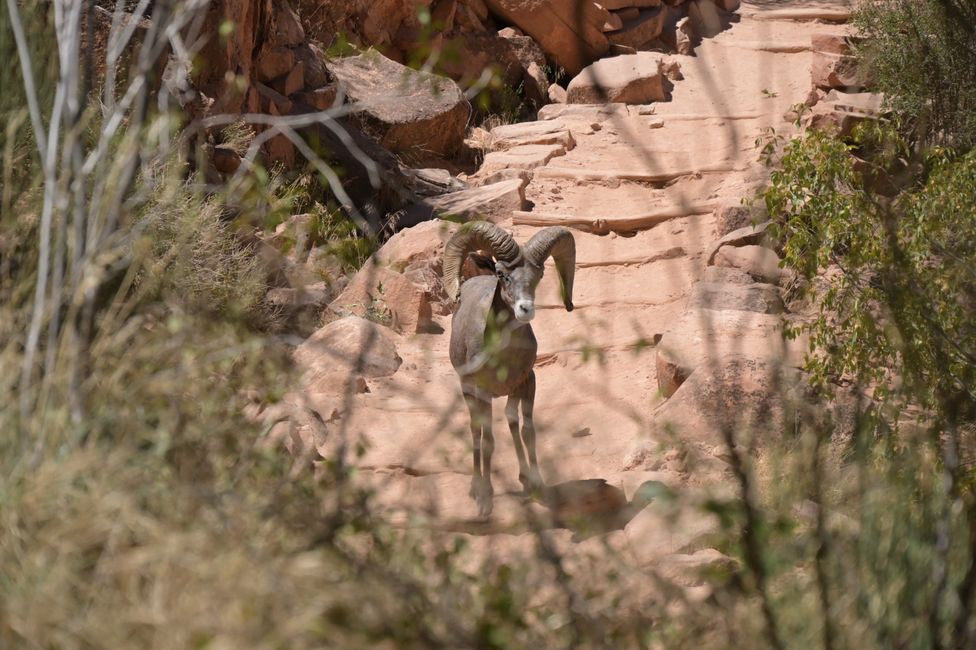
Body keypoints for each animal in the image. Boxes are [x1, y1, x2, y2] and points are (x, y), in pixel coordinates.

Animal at [442, 221, 576, 517]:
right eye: (502, 275)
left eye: (539, 275)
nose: (525, 309)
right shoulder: (482, 392)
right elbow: (488, 441)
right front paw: (485, 501)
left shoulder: (528, 383)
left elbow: (528, 432)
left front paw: (538, 486)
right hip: (469, 393)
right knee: (475, 432)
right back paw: (476, 486)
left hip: (509, 395)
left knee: (512, 421)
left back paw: (524, 479)